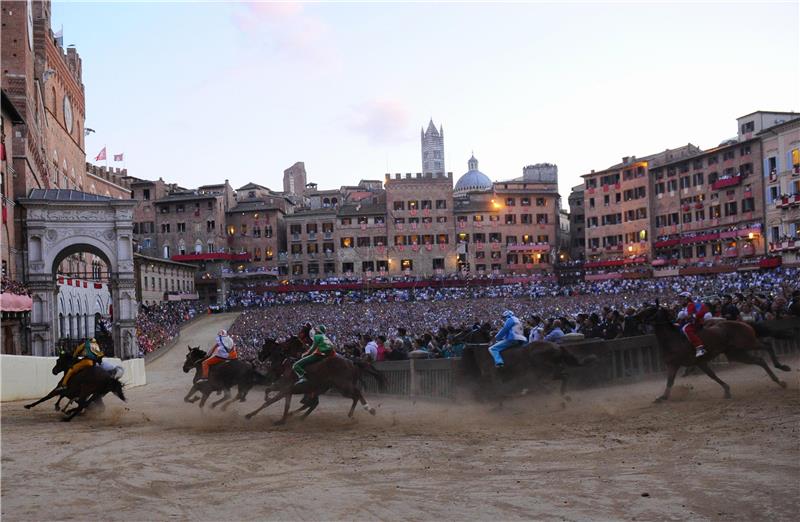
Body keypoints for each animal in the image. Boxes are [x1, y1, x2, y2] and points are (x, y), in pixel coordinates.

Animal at [247, 342, 388, 422]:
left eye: (264, 346)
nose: (259, 357)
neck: (286, 364)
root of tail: (351, 362)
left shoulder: (286, 388)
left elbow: (270, 402)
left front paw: (250, 414)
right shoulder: (286, 388)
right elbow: (271, 393)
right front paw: (283, 418)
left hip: (343, 386)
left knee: (357, 393)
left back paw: (369, 409)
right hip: (338, 387)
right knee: (353, 396)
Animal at [636, 302, 792, 400]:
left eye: (650, 309)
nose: (635, 317)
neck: (672, 338)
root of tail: (743, 322)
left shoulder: (691, 362)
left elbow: (710, 376)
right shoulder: (680, 364)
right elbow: (671, 381)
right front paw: (662, 397)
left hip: (748, 342)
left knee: (767, 345)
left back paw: (782, 367)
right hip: (736, 353)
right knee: (759, 360)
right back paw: (779, 381)